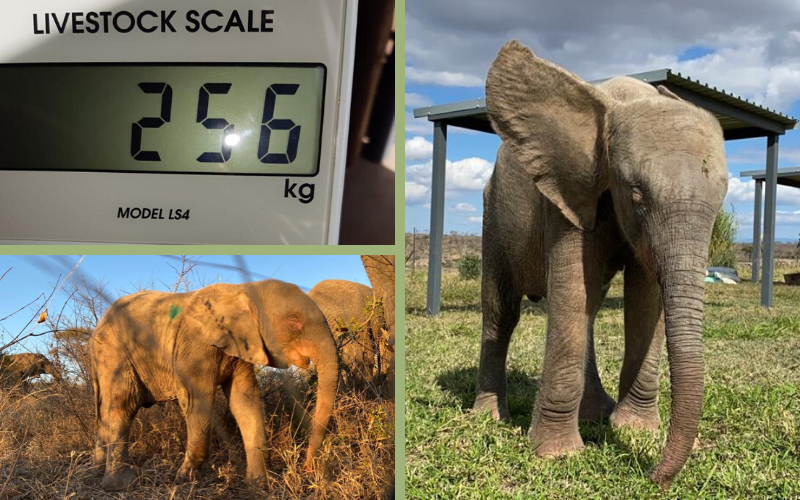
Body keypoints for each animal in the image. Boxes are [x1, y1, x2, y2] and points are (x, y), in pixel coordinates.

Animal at [89, 279, 339, 491]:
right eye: (293, 322)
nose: (306, 469)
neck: (244, 289)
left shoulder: (241, 346)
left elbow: (244, 401)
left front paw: (258, 484)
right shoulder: (196, 347)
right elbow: (197, 400)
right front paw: (184, 479)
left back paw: (97, 468)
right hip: (114, 352)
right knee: (123, 402)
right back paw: (120, 484)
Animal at [473, 41, 728, 488]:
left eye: (724, 195)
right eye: (636, 192)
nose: (653, 476)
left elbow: (646, 301)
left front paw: (633, 430)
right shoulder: (568, 196)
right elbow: (572, 293)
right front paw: (556, 455)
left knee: (589, 312)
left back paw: (595, 412)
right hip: (494, 216)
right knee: (502, 312)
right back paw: (489, 417)